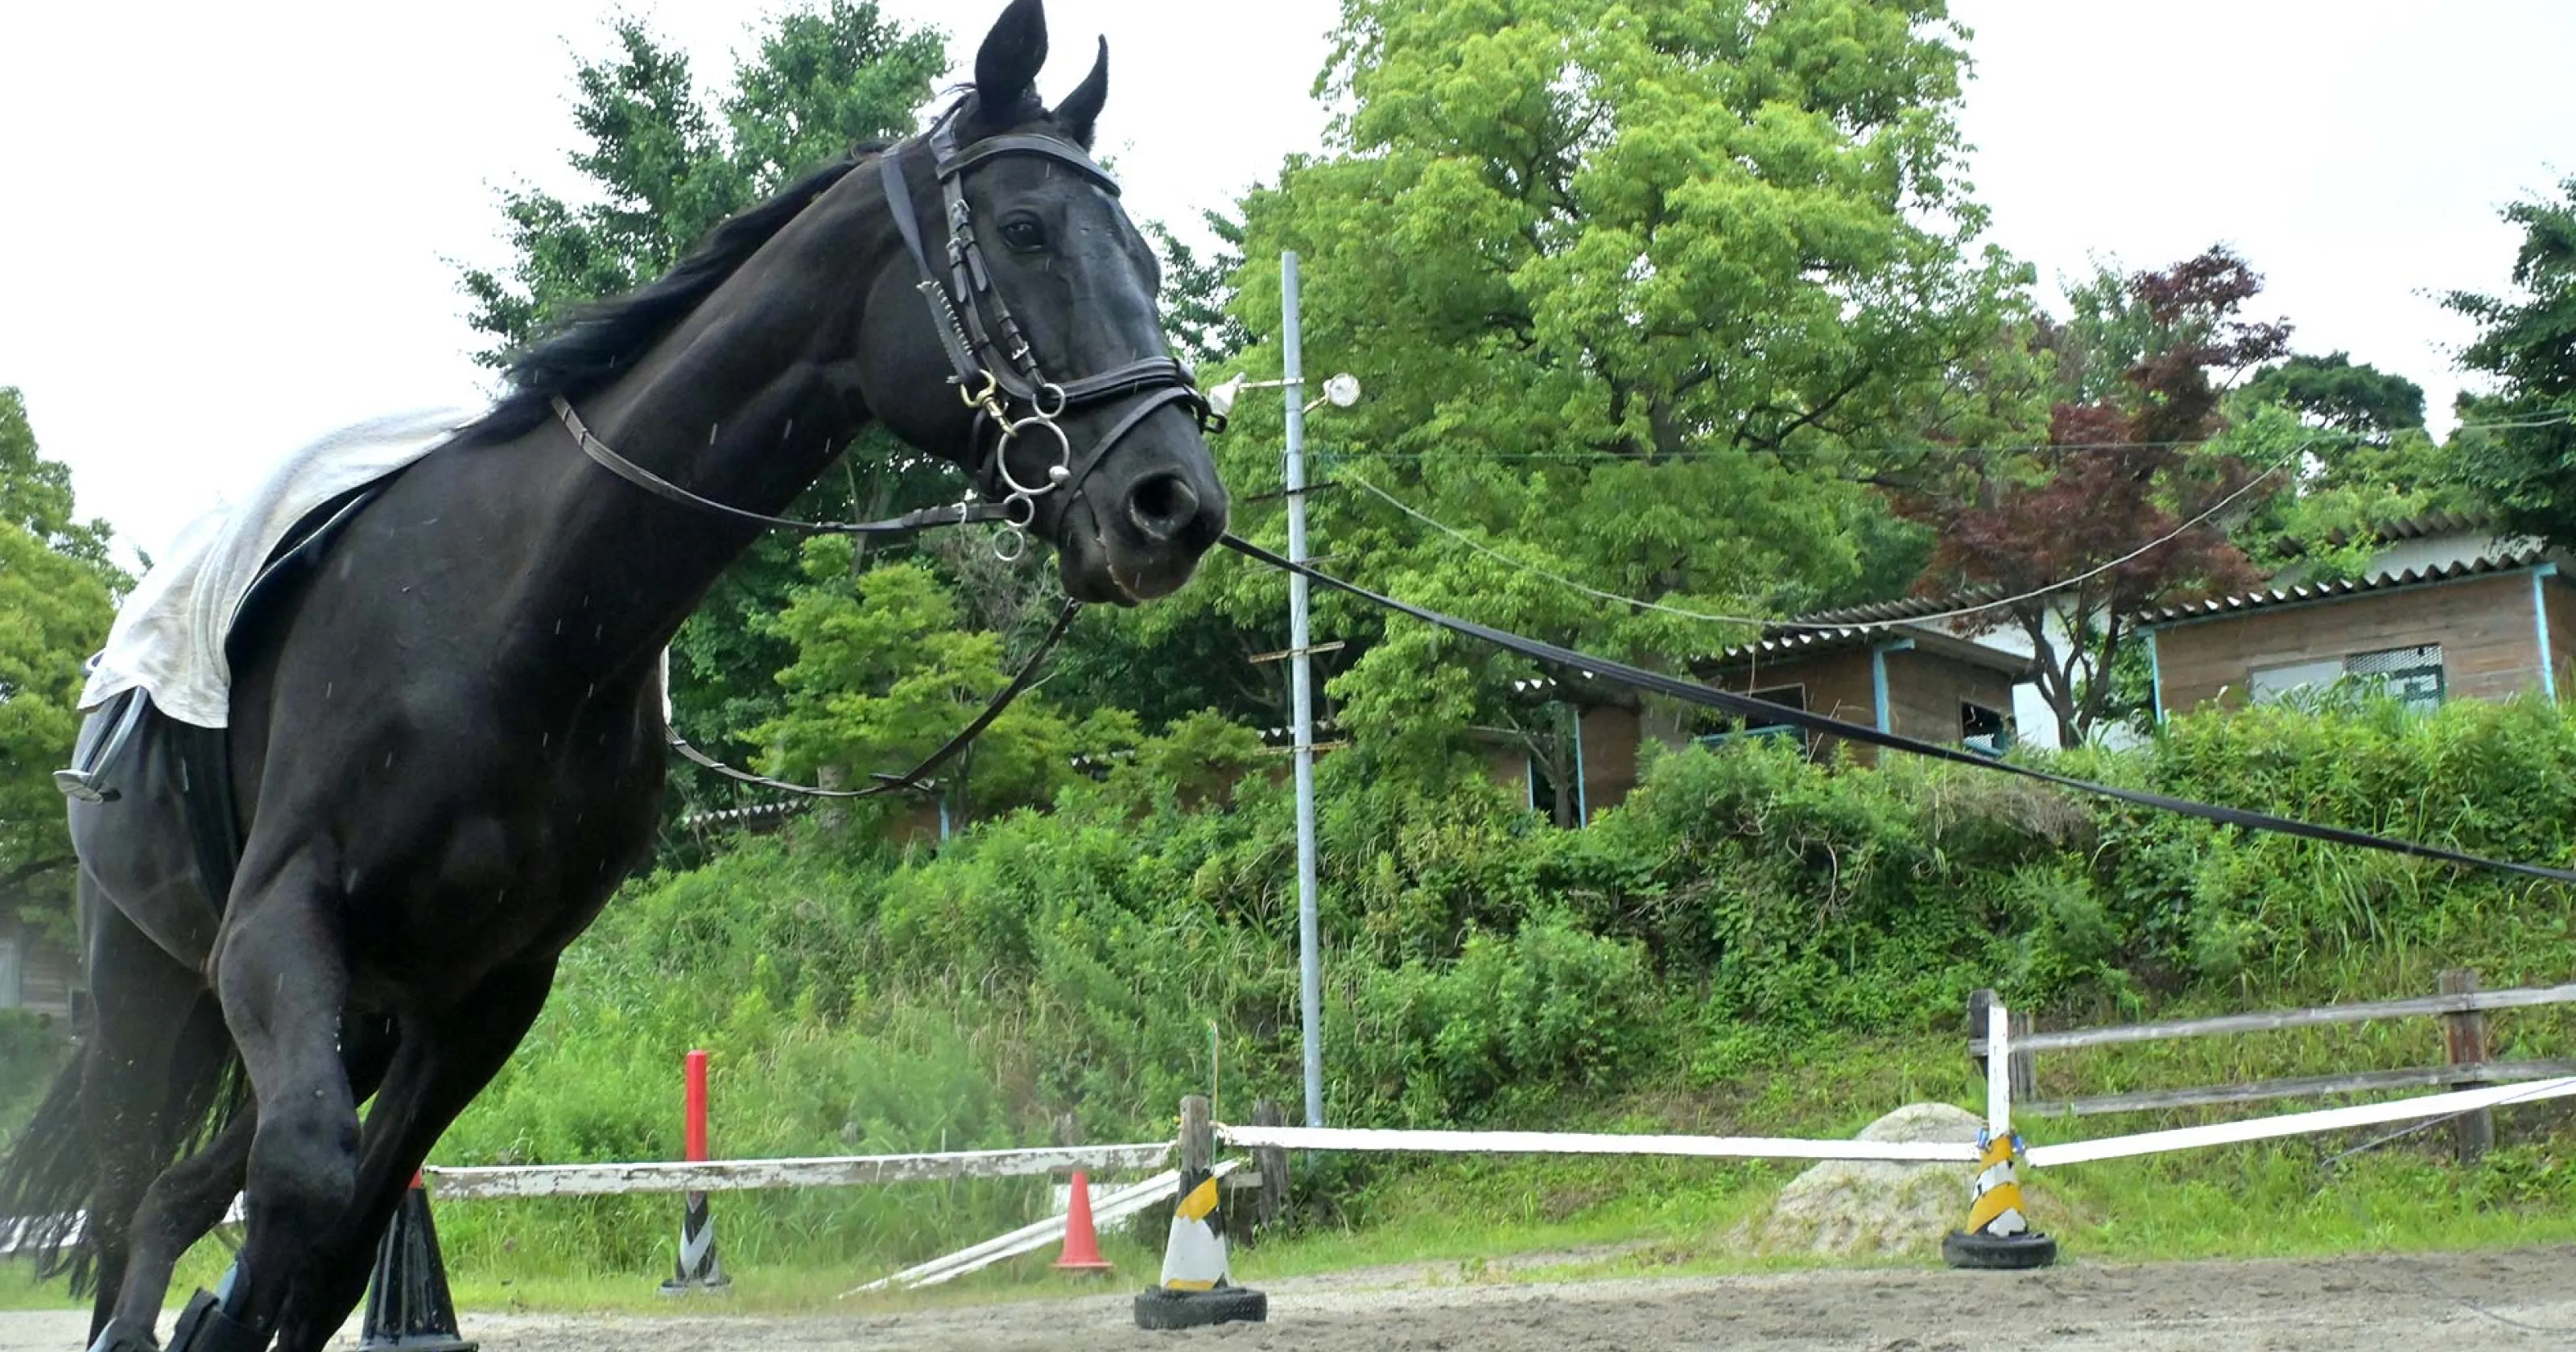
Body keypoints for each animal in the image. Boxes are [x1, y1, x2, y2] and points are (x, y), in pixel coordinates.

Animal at [0, 2, 1227, 1348]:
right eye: (1024, 232)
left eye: (1148, 261)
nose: (1174, 504)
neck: (518, 628)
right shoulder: (281, 922)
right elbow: (309, 1180)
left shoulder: (482, 998)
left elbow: (338, 1234)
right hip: (151, 995)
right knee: (132, 1202)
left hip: (358, 1015)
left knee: (175, 1200)